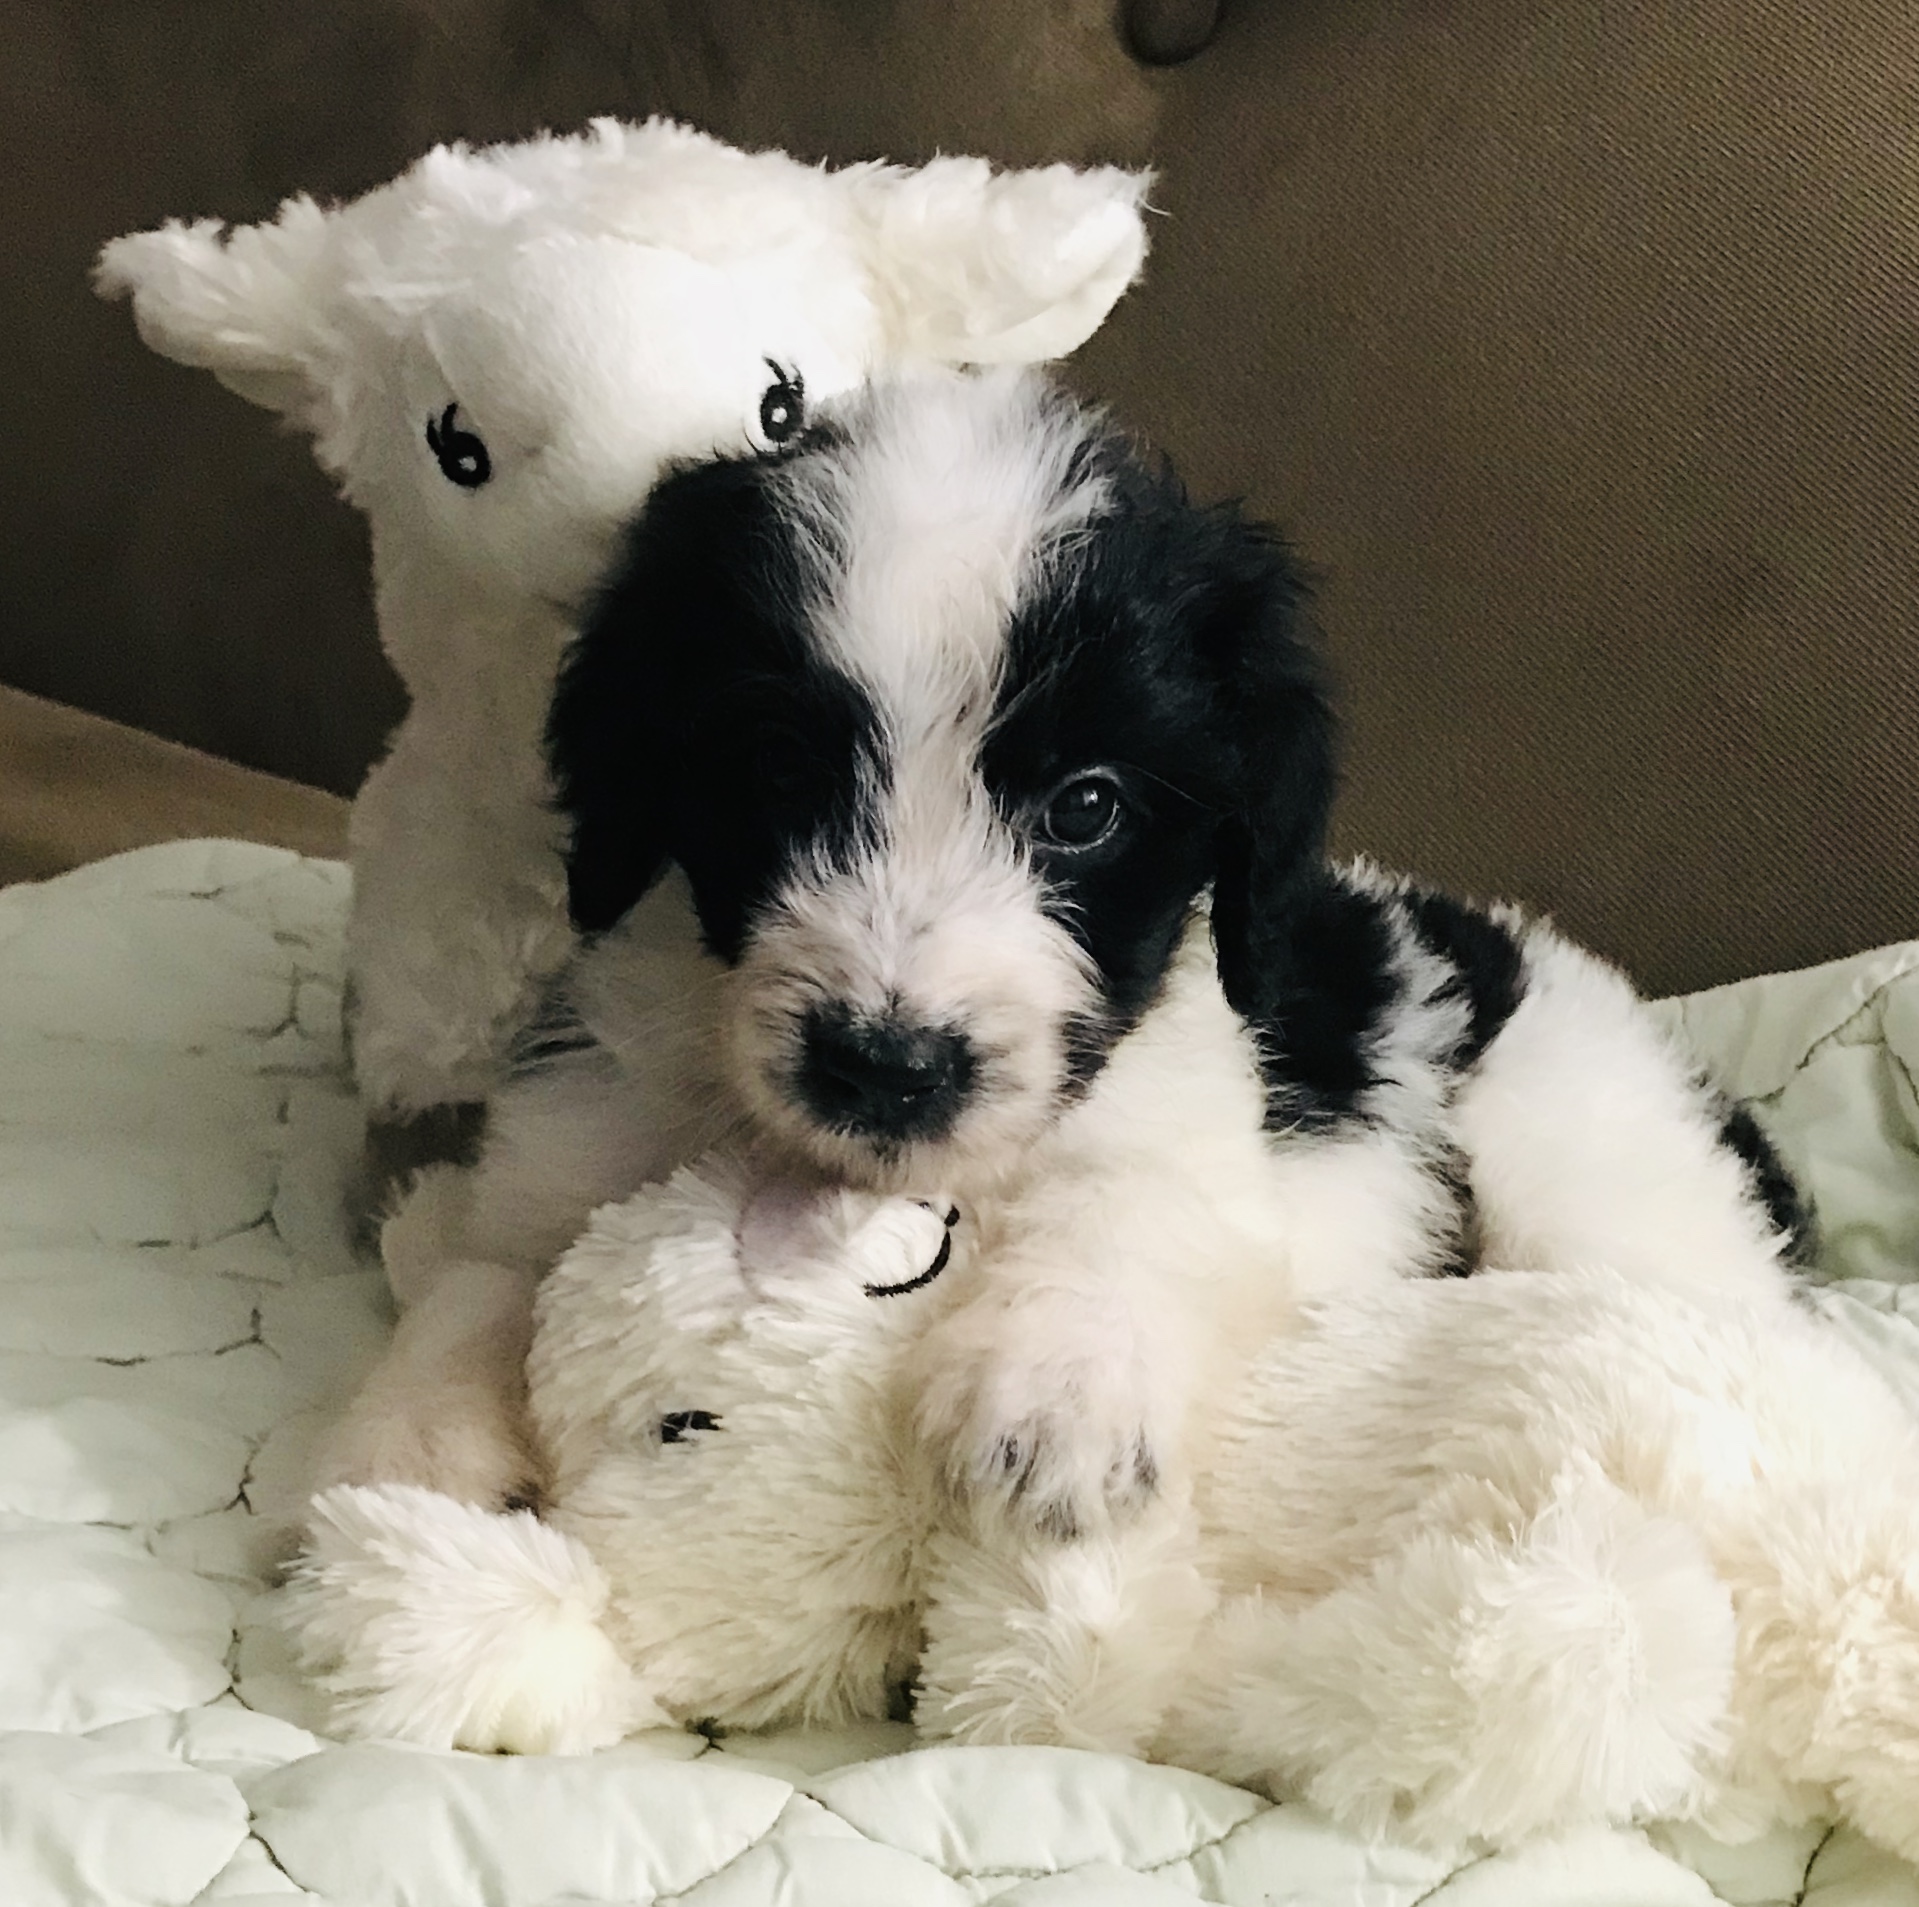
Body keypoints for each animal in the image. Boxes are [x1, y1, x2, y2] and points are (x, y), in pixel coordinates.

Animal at [322, 364, 1803, 1527]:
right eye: (774, 770)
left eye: (1086, 805)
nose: (885, 1065)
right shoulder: (581, 1125)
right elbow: (485, 1270)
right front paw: (416, 1434)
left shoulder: (1184, 1116)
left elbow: (1131, 1209)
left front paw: (1059, 1382)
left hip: (1585, 1174)